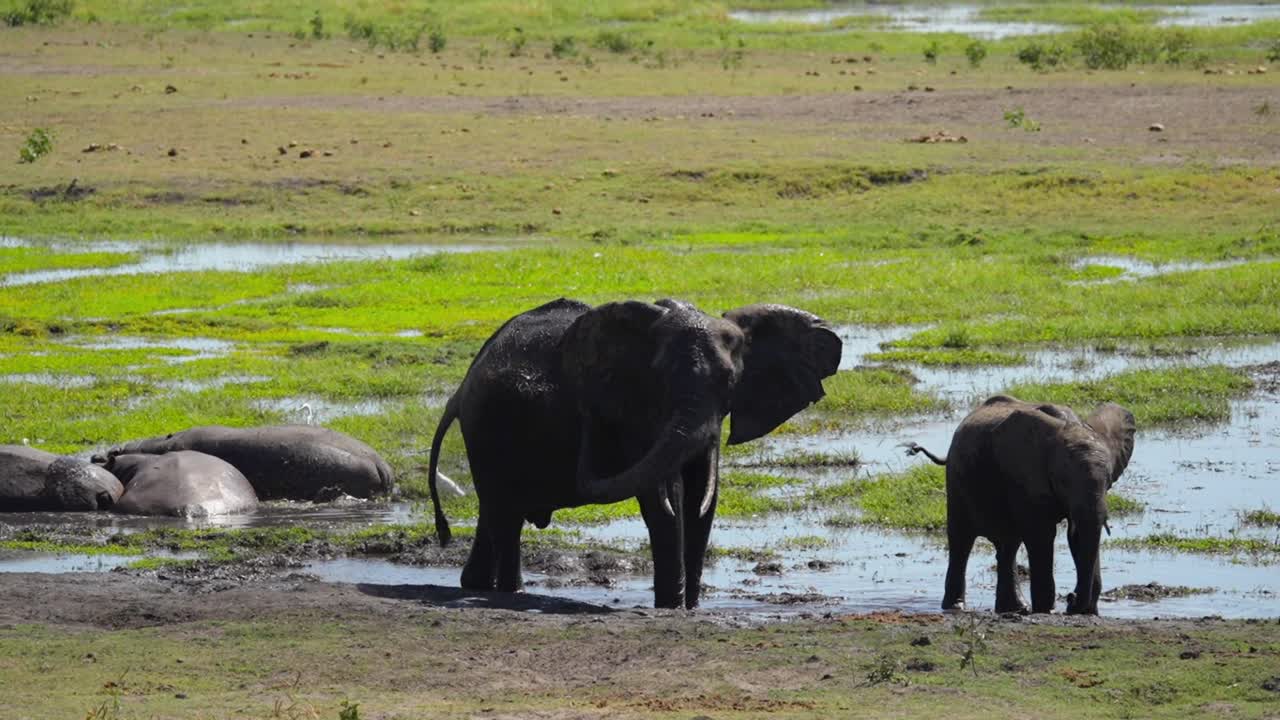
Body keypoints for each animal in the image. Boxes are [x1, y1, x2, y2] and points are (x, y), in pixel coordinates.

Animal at [427, 298, 842, 609]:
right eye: (660, 379)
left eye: (729, 380)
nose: (589, 419)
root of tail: (460, 389)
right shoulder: (637, 412)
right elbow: (665, 498)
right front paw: (672, 606)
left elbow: (703, 498)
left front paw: (691, 607)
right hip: (486, 427)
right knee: (505, 517)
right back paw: (510, 592)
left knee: (495, 512)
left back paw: (478, 585)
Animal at [904, 394, 1136, 615]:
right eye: (1063, 481)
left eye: (1108, 480)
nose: (1071, 599)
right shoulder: (1023, 476)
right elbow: (1041, 535)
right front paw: (1048, 610)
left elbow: (1078, 535)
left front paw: (1085, 611)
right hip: (956, 480)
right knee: (961, 541)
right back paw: (956, 607)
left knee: (1008, 545)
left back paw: (1014, 609)